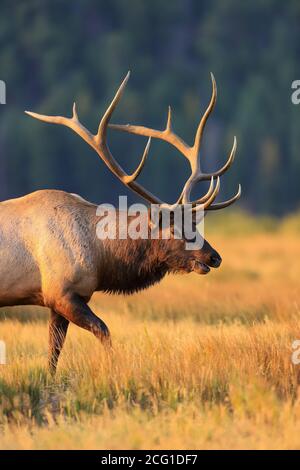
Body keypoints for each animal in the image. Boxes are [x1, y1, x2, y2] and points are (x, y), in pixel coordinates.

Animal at [0, 73, 239, 372]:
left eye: (195, 224)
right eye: (175, 228)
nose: (214, 256)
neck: (100, 256)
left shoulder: (57, 300)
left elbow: (53, 353)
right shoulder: (61, 292)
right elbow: (103, 330)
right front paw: (113, 367)